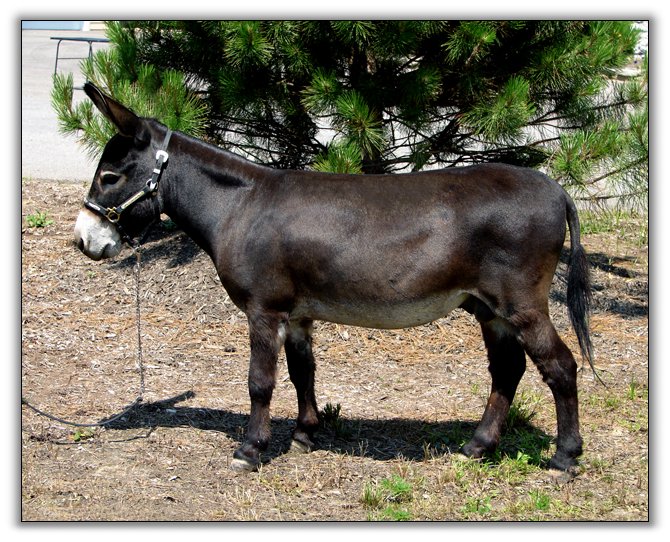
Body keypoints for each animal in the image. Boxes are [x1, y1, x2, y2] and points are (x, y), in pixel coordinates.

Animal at [74, 83, 593, 473]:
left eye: (110, 177)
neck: (239, 206)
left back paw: (565, 459)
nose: (83, 241)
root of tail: (556, 188)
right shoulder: (298, 314)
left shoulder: (264, 310)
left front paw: (250, 450)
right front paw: (305, 435)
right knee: (508, 370)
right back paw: (477, 447)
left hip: (521, 303)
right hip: (489, 308)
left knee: (561, 367)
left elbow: (260, 381)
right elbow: (303, 371)